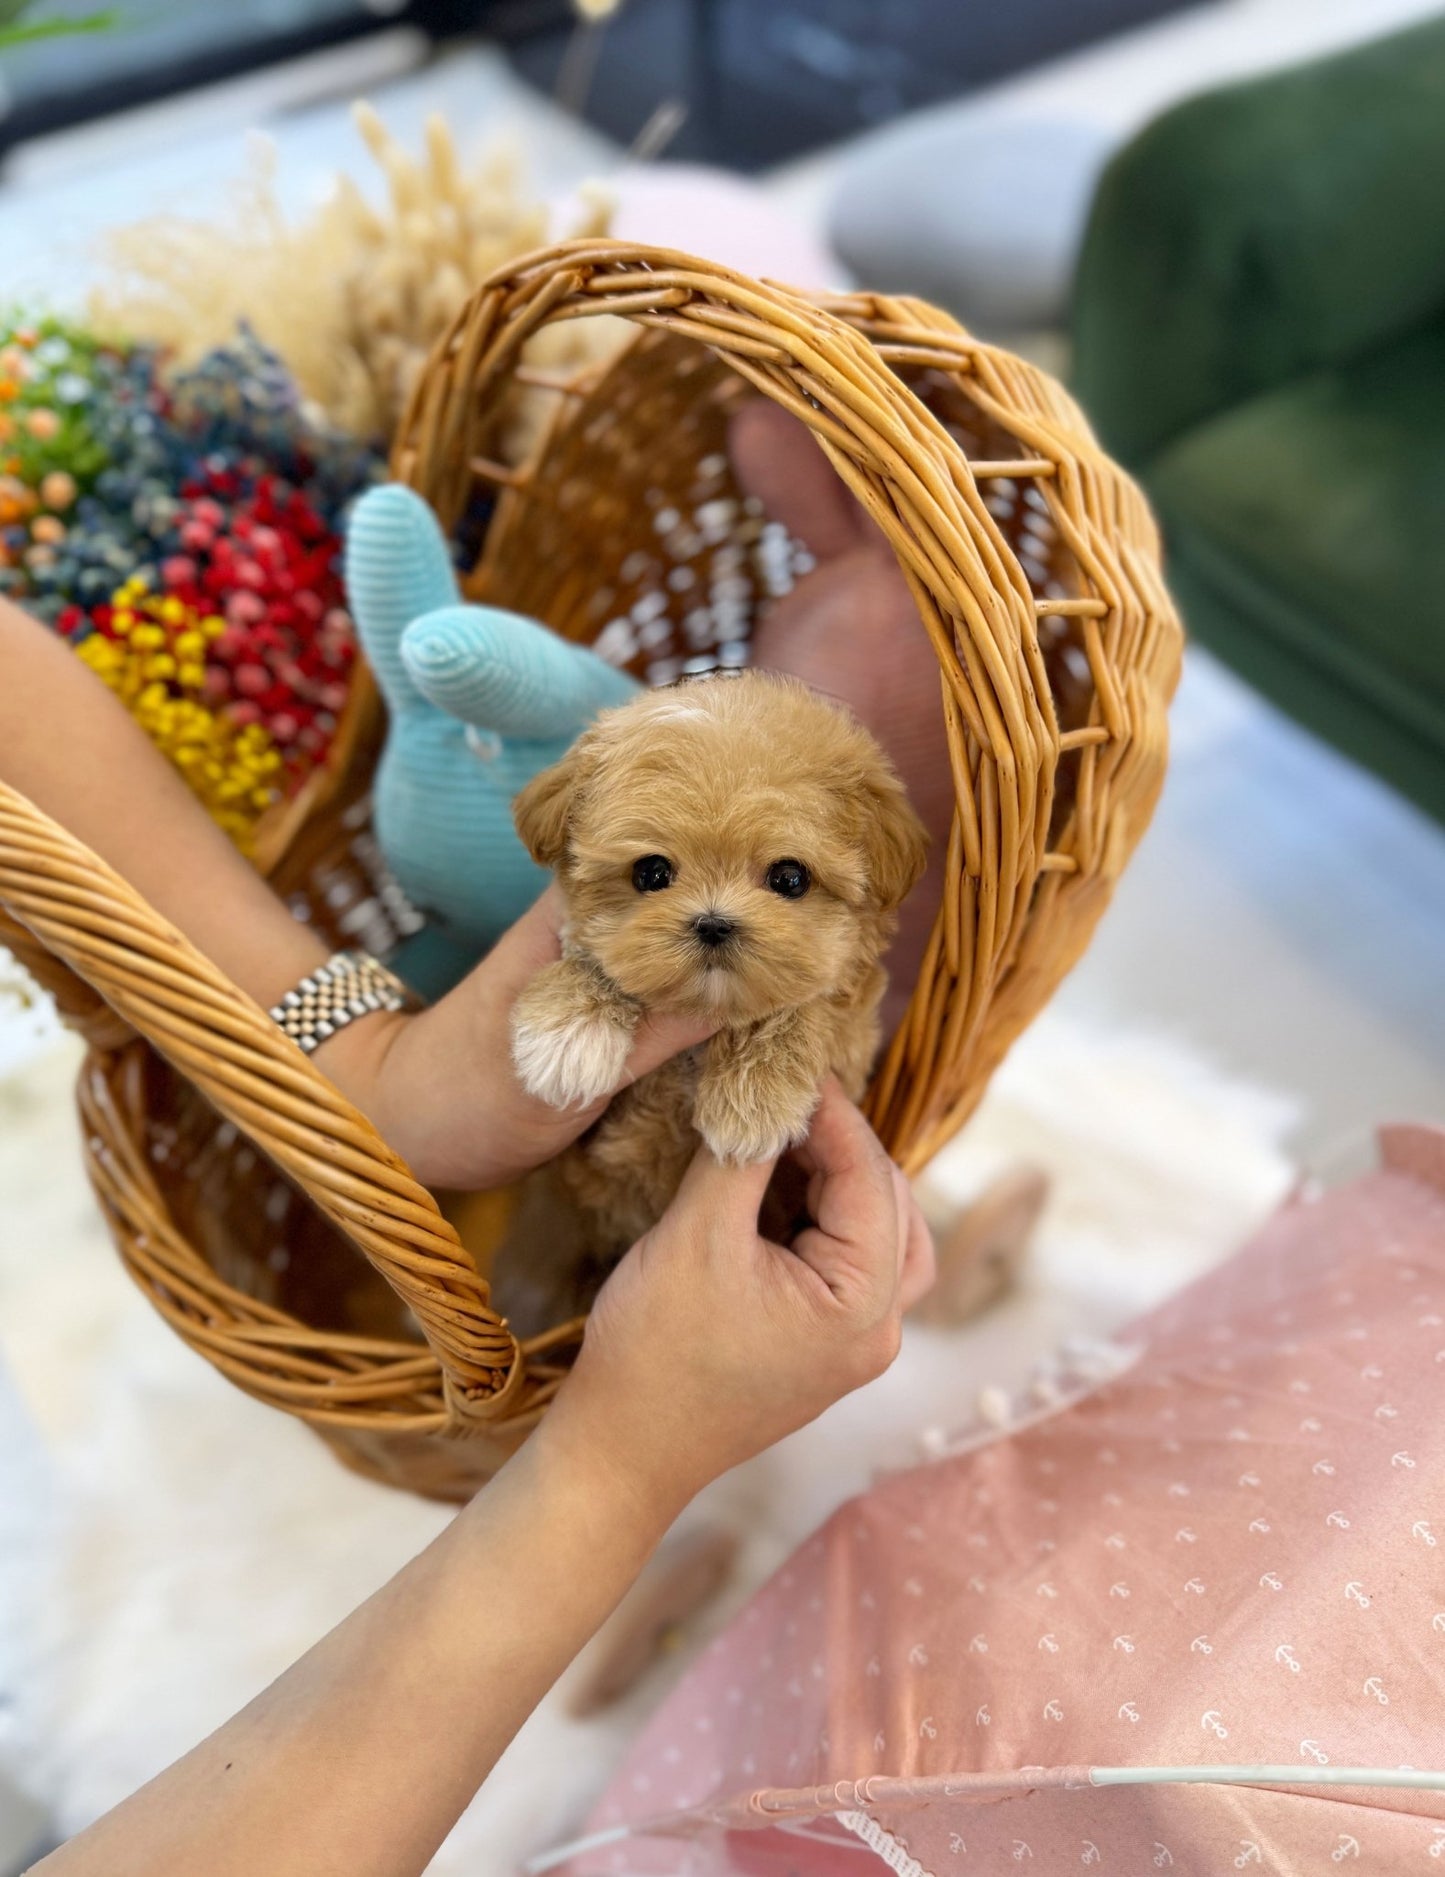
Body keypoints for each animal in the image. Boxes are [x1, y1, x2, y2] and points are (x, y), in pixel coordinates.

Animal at [495, 668, 923, 1328]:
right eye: (650, 873)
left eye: (790, 878)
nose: (714, 923)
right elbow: (593, 958)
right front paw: (567, 1032)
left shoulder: (852, 1045)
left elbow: (802, 1006)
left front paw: (755, 1098)